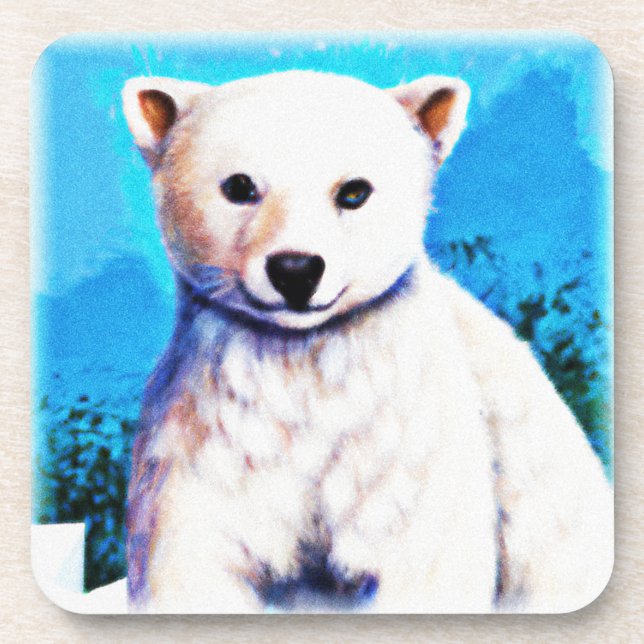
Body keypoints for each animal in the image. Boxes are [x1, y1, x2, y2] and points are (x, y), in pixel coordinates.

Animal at [121, 70, 613, 613]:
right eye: (239, 185)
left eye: (355, 191)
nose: (296, 269)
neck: (301, 355)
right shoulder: (213, 437)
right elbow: (194, 561)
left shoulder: (402, 443)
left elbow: (422, 560)